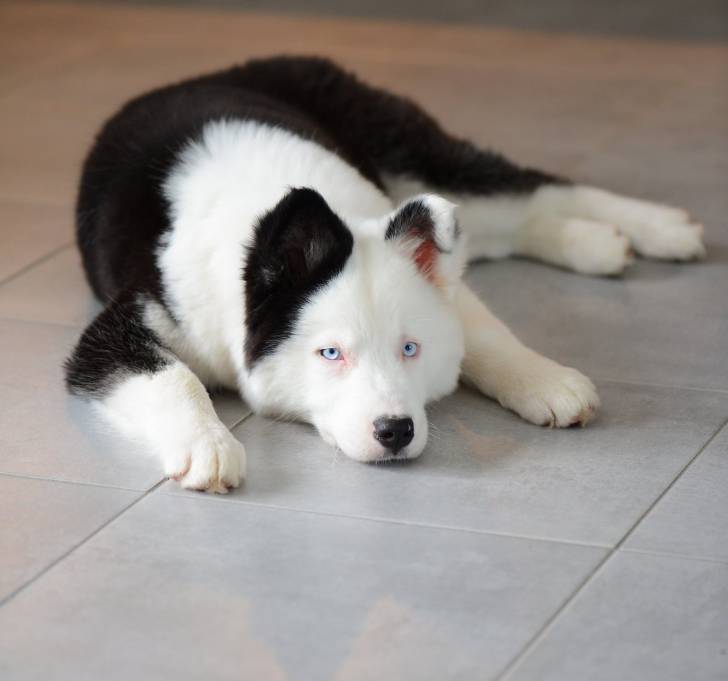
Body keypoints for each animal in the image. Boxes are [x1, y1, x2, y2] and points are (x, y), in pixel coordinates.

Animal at [65, 56, 705, 493]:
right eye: (330, 354)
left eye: (410, 348)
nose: (395, 432)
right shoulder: (123, 326)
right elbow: (174, 377)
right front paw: (209, 445)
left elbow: (485, 332)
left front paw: (544, 379)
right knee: (511, 223)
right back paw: (597, 242)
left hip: (408, 150)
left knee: (536, 190)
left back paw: (658, 228)